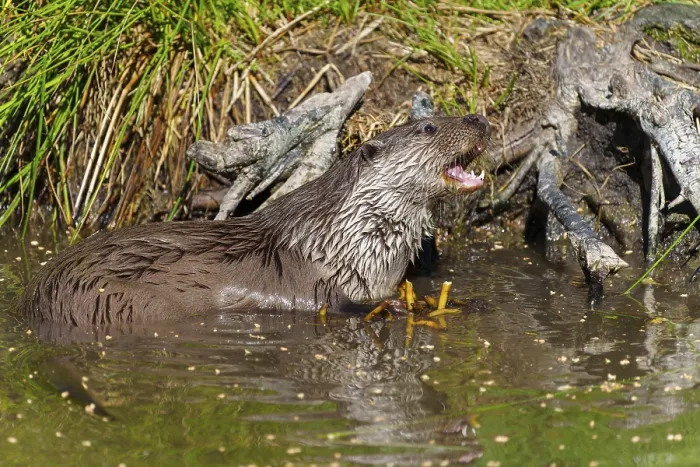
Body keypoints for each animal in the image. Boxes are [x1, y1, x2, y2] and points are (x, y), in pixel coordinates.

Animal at [18, 115, 489, 326]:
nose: (479, 118)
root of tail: (38, 296)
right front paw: (392, 306)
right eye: (429, 127)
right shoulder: (317, 284)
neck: (341, 239)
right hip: (115, 301)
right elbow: (338, 305)